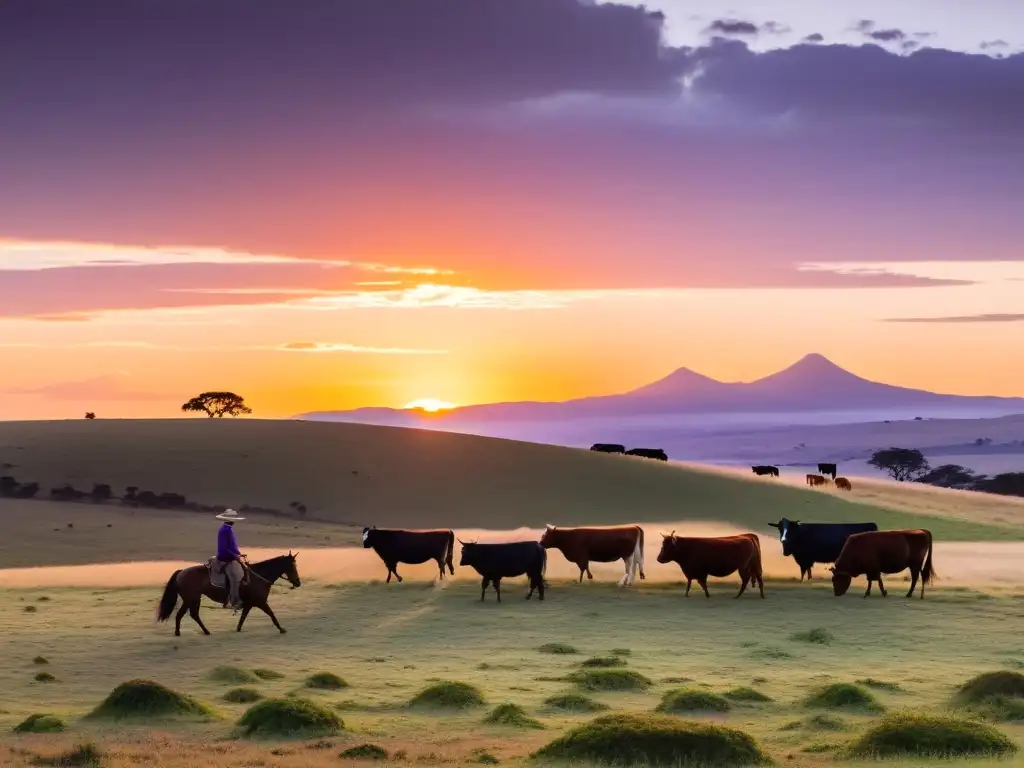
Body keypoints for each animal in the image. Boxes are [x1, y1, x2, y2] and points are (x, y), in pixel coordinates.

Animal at [153, 552, 301, 638]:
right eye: (292, 566)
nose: (298, 583)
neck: (259, 575)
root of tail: (181, 571)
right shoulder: (261, 602)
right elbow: (271, 614)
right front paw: (281, 629)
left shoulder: (250, 603)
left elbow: (243, 617)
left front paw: (238, 629)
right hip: (192, 599)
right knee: (191, 614)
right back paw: (199, 631)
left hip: (191, 599)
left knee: (186, 614)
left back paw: (188, 632)